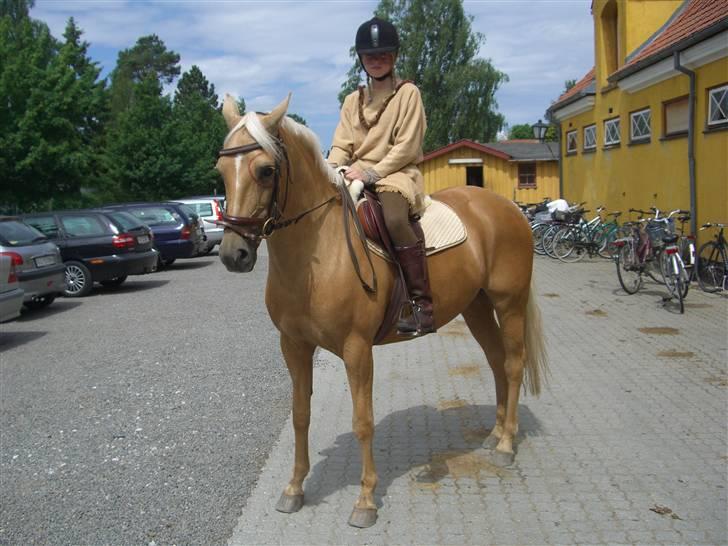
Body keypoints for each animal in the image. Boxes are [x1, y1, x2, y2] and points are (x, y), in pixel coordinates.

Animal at [216, 94, 548, 528]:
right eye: (221, 170)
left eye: (266, 170)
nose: (233, 255)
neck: (317, 254)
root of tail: (507, 206)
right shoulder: (294, 346)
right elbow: (300, 415)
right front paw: (294, 489)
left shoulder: (357, 350)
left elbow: (363, 422)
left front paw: (366, 500)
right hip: (476, 307)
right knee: (496, 361)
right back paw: (494, 434)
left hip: (509, 303)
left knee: (512, 363)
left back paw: (507, 443)